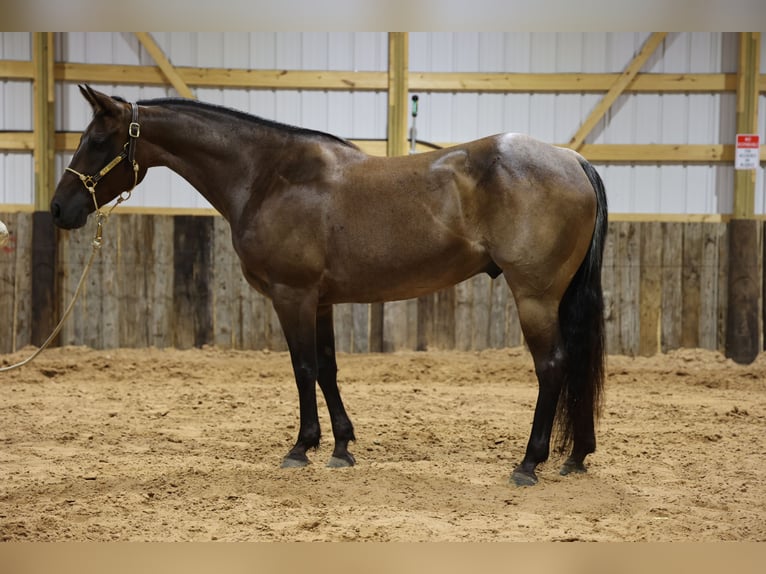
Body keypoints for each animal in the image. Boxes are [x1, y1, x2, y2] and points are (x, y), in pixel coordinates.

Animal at [51, 84, 607, 486]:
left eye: (97, 141)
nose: (59, 209)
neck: (269, 177)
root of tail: (571, 159)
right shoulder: (319, 302)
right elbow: (327, 369)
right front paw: (341, 447)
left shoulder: (291, 295)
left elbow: (302, 369)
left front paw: (301, 448)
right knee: (576, 362)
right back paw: (576, 457)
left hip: (534, 297)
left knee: (552, 367)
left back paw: (529, 463)